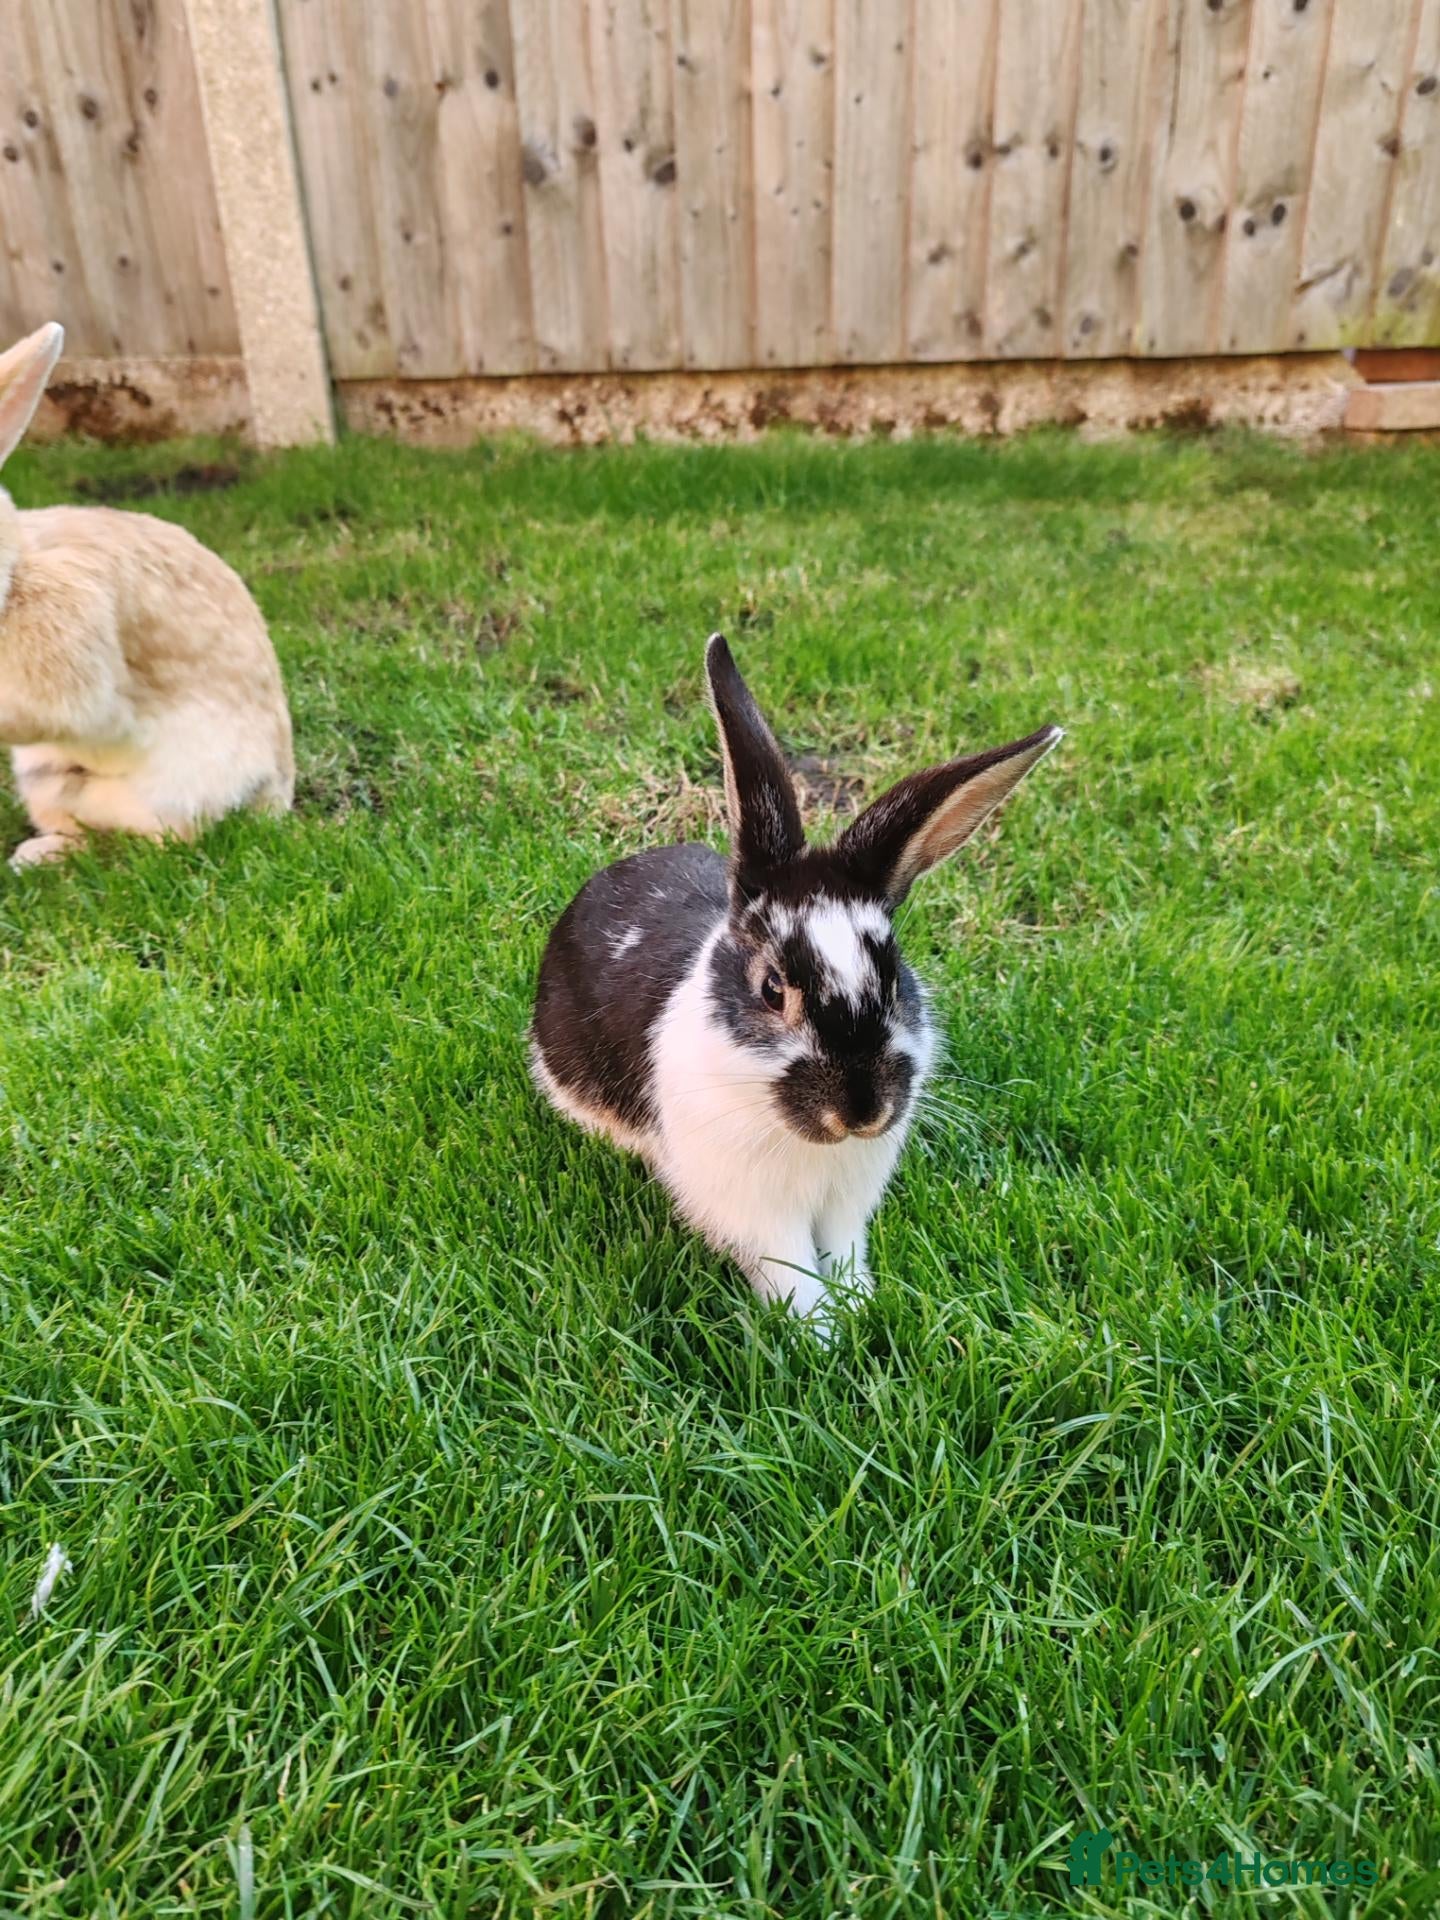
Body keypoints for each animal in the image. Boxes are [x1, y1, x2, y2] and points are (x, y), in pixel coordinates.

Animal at [532, 632, 1062, 1325]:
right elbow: (792, 1272)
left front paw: (860, 1305)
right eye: (771, 989)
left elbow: (842, 1253)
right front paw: (820, 1331)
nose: (862, 1111)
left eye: (895, 977)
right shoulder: (758, 1214)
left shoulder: (846, 1203)